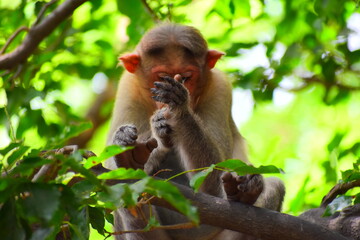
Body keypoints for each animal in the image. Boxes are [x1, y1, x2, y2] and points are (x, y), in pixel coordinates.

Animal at [105, 23, 286, 240]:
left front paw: (178, 108)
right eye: (161, 77)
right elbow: (107, 167)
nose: (166, 102)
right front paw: (140, 142)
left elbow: (213, 180)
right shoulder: (128, 87)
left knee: (274, 185)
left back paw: (246, 193)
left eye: (186, 77)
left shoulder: (220, 87)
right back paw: (130, 160)